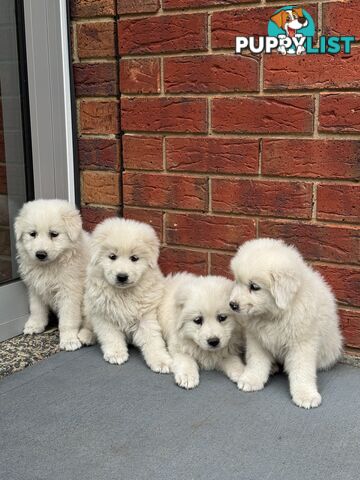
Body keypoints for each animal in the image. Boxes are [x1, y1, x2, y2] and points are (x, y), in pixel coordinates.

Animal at [14, 197, 89, 350]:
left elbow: (67, 320)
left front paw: (69, 341)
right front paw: (34, 326)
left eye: (54, 234)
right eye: (33, 234)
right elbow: (36, 309)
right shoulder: (35, 288)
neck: (48, 267)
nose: (40, 254)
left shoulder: (69, 292)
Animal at [82, 217, 172, 372]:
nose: (122, 276)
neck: (123, 293)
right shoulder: (103, 315)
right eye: (112, 256)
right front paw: (116, 354)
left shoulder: (146, 316)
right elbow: (111, 336)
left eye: (134, 258)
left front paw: (161, 361)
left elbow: (153, 339)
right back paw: (85, 335)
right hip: (89, 307)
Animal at [229, 237, 342, 408]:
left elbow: (302, 370)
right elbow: (256, 361)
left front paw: (305, 395)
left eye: (254, 287)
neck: (273, 315)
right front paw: (251, 379)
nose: (232, 305)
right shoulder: (256, 339)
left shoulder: (302, 343)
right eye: (237, 281)